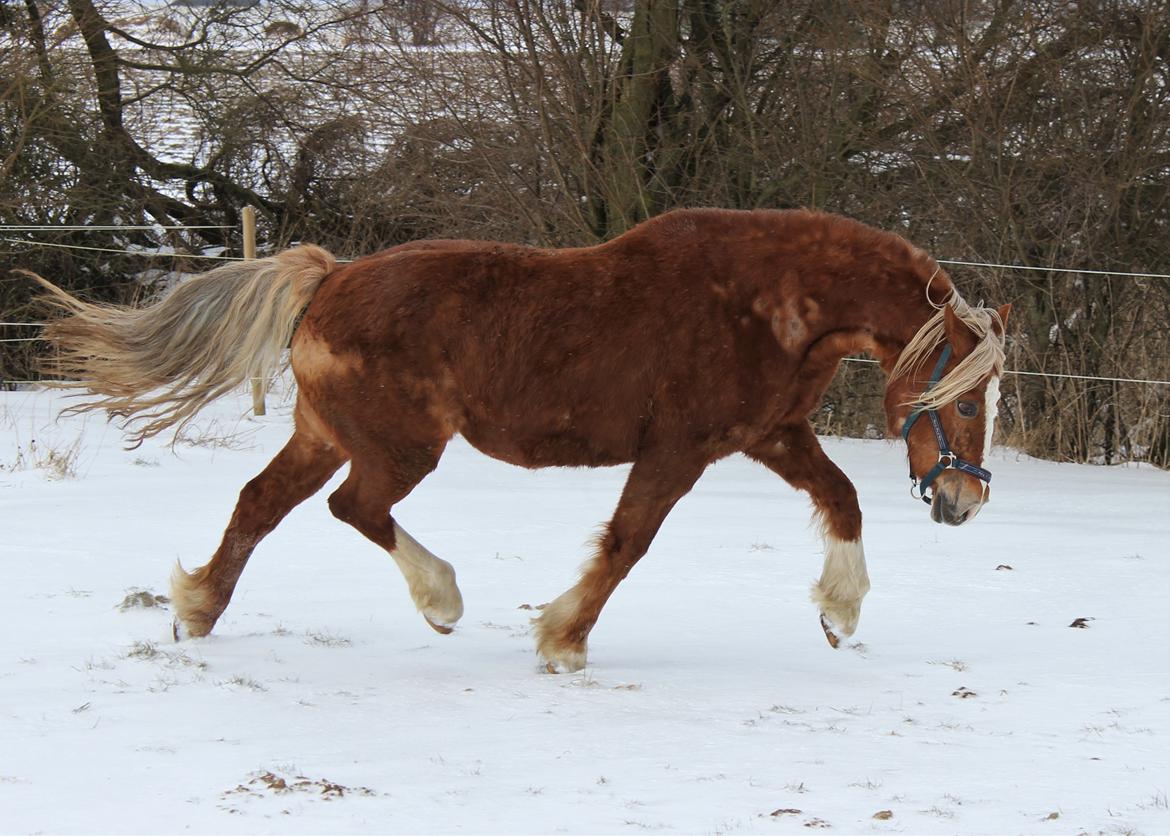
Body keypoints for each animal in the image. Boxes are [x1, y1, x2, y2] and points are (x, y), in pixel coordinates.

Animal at [34, 208, 1006, 673]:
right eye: (965, 402)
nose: (965, 503)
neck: (766, 301)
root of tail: (329, 278)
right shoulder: (680, 448)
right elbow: (627, 543)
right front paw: (563, 640)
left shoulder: (769, 434)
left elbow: (842, 497)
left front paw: (839, 614)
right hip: (398, 445)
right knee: (355, 508)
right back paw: (441, 601)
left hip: (325, 433)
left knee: (260, 505)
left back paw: (198, 610)